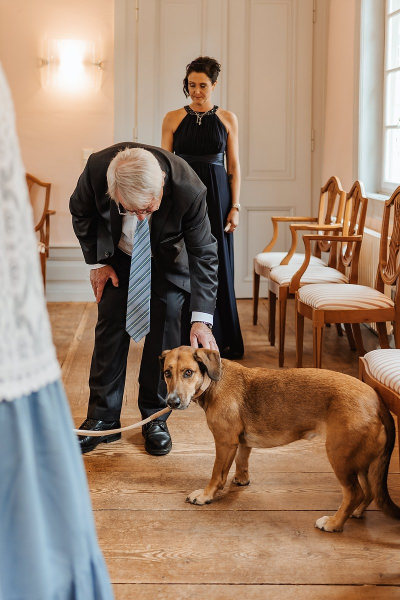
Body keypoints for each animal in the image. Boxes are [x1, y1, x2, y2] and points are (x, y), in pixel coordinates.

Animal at [159, 344, 400, 532]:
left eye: (188, 372)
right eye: (167, 373)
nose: (171, 402)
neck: (213, 381)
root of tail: (377, 401)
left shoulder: (225, 443)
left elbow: (217, 475)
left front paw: (205, 495)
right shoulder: (241, 443)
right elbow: (242, 461)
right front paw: (241, 479)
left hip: (340, 457)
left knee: (354, 493)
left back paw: (334, 523)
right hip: (362, 462)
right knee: (369, 492)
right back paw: (356, 513)